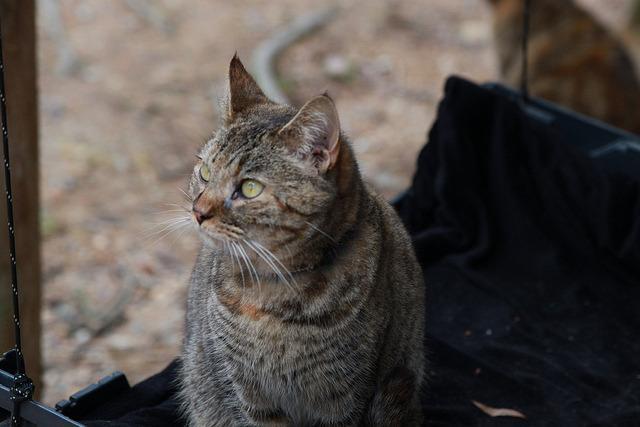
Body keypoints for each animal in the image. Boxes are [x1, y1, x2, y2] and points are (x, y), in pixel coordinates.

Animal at [178, 55, 424, 426]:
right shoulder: (251, 394)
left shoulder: (346, 397)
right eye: (205, 173)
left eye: (250, 188)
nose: (198, 211)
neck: (272, 295)